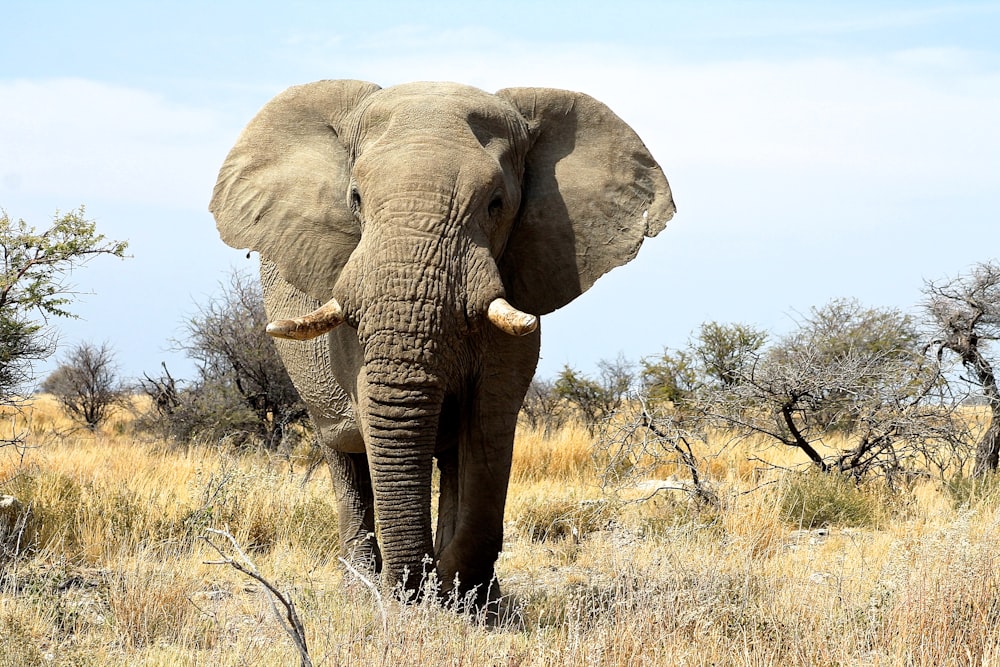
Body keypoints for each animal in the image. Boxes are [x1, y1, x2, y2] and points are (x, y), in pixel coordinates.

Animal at [213, 79, 680, 616]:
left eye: (496, 203)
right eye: (356, 198)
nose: (416, 590)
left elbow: (487, 427)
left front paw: (468, 598)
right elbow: (378, 418)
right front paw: (424, 594)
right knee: (344, 455)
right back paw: (363, 587)